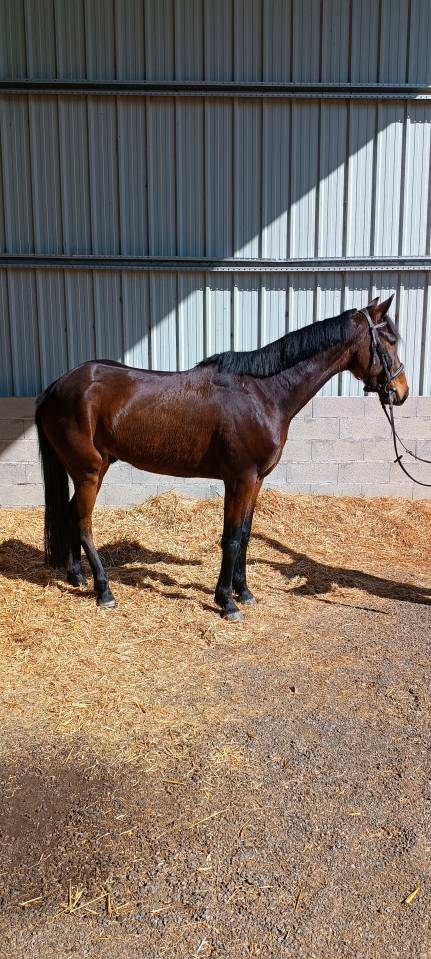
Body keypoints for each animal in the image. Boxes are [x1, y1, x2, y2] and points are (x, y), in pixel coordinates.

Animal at [35, 295, 408, 621]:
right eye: (389, 340)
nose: (400, 392)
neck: (263, 394)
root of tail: (57, 386)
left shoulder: (256, 480)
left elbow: (244, 534)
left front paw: (243, 592)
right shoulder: (240, 478)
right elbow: (230, 538)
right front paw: (227, 602)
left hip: (92, 469)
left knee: (69, 513)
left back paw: (77, 576)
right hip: (88, 471)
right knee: (83, 521)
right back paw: (104, 591)